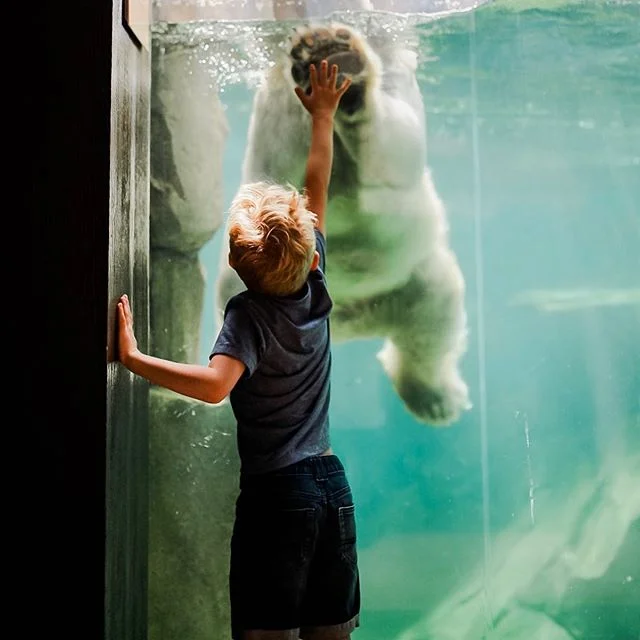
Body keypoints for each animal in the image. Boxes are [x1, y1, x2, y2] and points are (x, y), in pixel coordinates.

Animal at [215, 22, 471, 427]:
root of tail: (352, 319)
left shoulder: (397, 79)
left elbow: (399, 142)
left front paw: (343, 69)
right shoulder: (275, 114)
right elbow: (281, 162)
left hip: (412, 278)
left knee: (433, 314)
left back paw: (435, 398)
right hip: (240, 290)